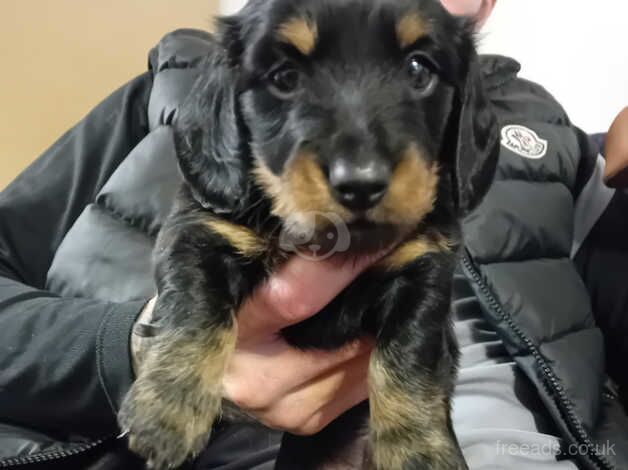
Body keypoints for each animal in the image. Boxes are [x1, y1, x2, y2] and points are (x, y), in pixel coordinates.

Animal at [118, 0, 500, 468]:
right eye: (284, 77)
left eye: (418, 69)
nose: (360, 183)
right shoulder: (197, 233)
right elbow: (196, 309)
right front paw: (168, 409)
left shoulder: (423, 269)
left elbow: (409, 354)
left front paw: (418, 450)